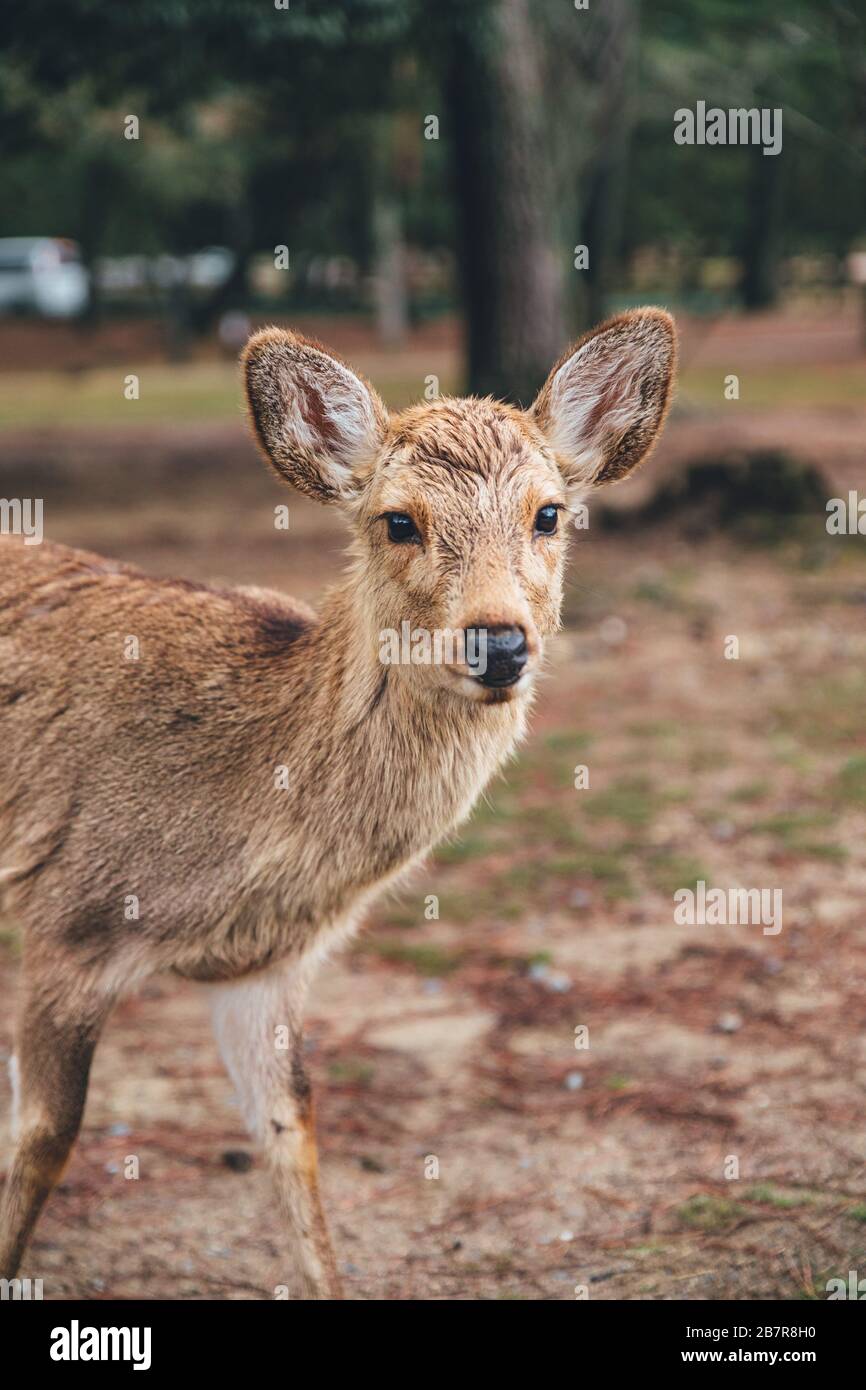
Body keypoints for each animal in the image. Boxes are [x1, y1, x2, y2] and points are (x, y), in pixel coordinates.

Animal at [0, 309, 678, 1295]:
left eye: (549, 513)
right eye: (398, 521)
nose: (499, 642)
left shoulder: (267, 968)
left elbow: (293, 1131)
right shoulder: (68, 915)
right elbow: (46, 1136)